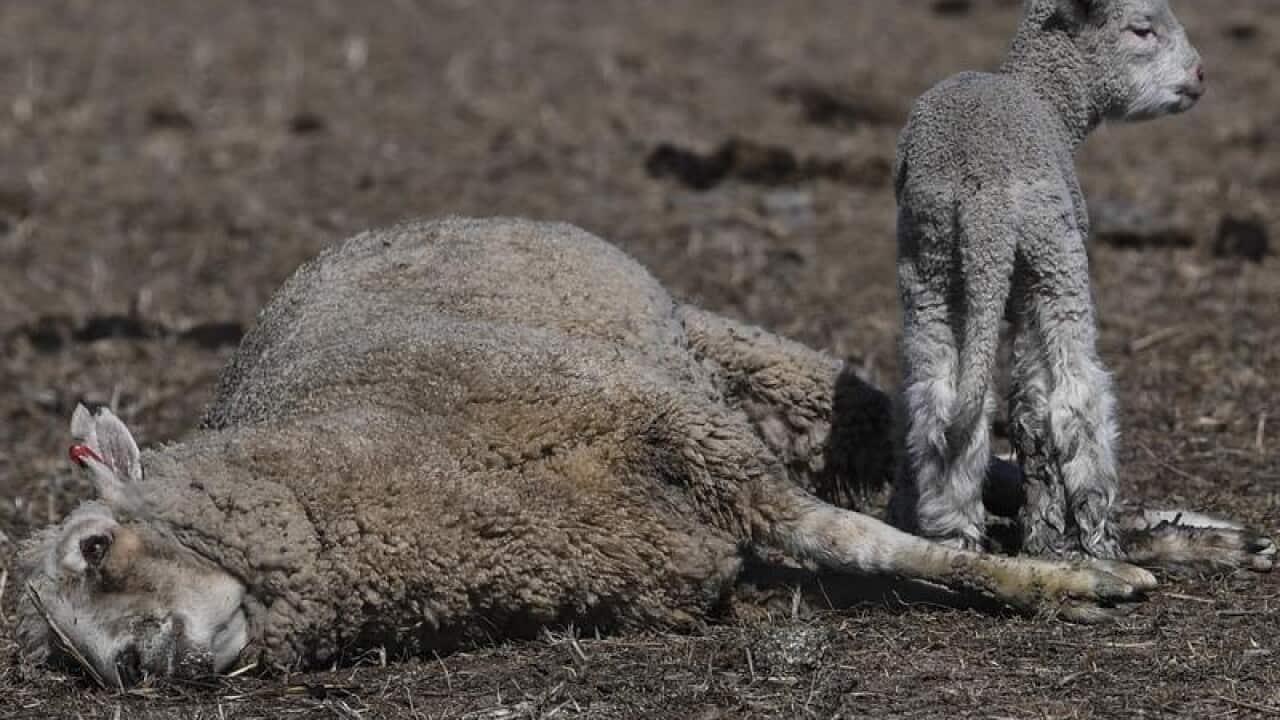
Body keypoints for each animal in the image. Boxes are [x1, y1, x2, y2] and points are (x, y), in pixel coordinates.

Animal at [17, 218, 1273, 688]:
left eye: (93, 546)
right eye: (77, 664)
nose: (140, 671)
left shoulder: (696, 444)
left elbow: (880, 544)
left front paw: (1064, 584)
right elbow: (868, 540)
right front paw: (1068, 574)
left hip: (740, 367)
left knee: (921, 455)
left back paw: (1178, 533)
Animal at [891, 0, 1210, 558]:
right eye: (1142, 29)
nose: (1198, 76)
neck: (1052, 100)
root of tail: (982, 195)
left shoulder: (1014, 289)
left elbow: (1025, 411)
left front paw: (1040, 534)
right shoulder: (1037, 279)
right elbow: (1042, 404)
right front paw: (1056, 532)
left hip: (928, 264)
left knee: (939, 400)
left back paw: (954, 532)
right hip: (1055, 255)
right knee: (1077, 395)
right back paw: (1101, 537)